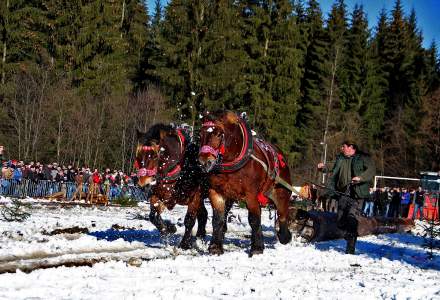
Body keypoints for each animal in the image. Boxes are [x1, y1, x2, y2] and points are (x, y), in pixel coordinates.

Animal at [199, 110, 292, 255]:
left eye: (218, 134)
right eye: (200, 135)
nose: (204, 162)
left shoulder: (251, 195)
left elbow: (254, 219)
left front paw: (257, 248)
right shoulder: (216, 192)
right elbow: (218, 219)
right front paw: (215, 246)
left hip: (281, 192)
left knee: (282, 214)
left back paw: (284, 237)